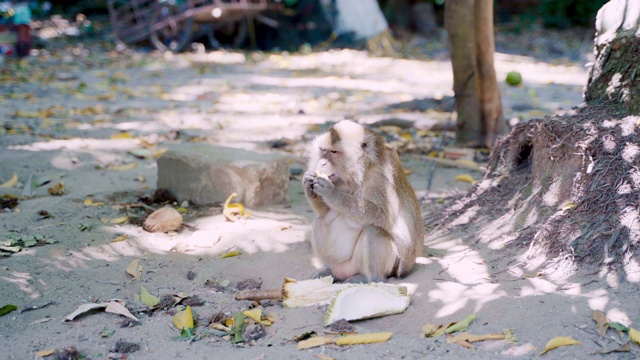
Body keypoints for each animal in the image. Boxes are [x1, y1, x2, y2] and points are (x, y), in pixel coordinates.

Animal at [304, 119, 424, 282]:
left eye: (334, 152)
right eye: (323, 150)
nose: (322, 163)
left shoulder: (380, 178)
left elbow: (383, 216)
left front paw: (331, 193)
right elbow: (324, 211)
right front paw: (308, 183)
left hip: (385, 267)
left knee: (374, 230)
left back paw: (371, 279)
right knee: (320, 221)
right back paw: (328, 271)